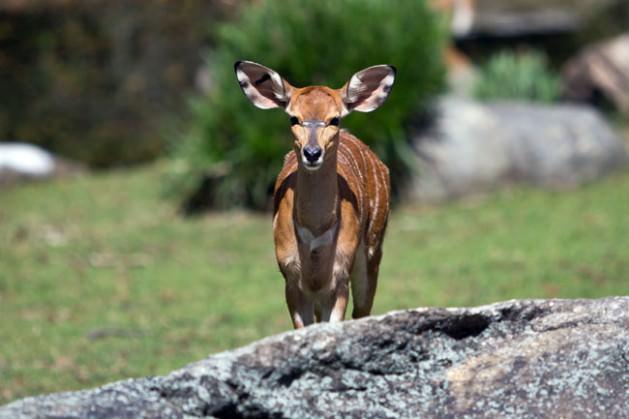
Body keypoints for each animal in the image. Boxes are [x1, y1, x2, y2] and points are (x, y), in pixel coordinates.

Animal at [236, 60, 392, 330]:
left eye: (334, 119)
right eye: (293, 118)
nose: (311, 153)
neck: (315, 232)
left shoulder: (339, 277)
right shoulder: (291, 278)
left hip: (373, 251)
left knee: (363, 311)